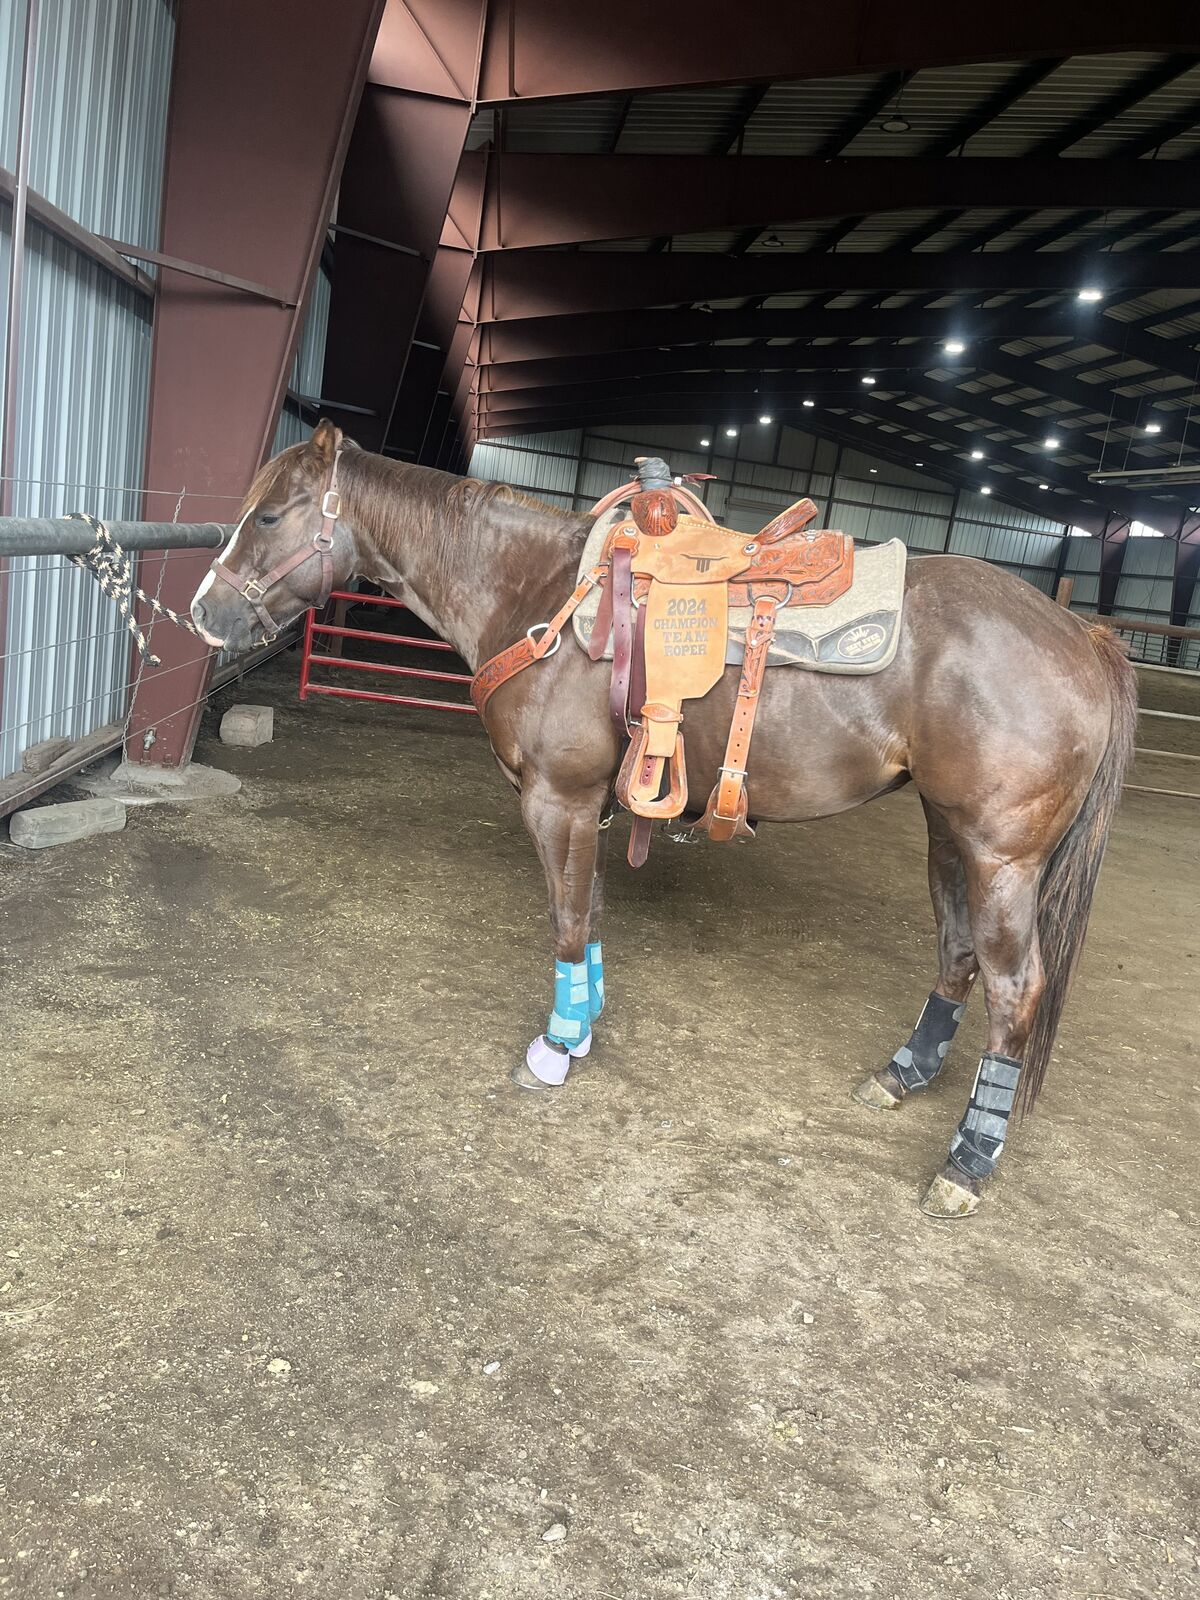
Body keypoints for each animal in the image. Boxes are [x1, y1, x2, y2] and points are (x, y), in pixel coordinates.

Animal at [190, 420, 1137, 1218]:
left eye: (268, 514)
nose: (203, 612)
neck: (539, 593)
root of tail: (1081, 633)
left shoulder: (559, 799)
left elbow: (567, 920)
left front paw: (556, 1046)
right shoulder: (595, 807)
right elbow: (593, 912)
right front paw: (585, 1023)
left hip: (1001, 854)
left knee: (1015, 988)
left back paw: (968, 1161)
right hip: (949, 833)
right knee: (959, 955)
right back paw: (902, 1075)